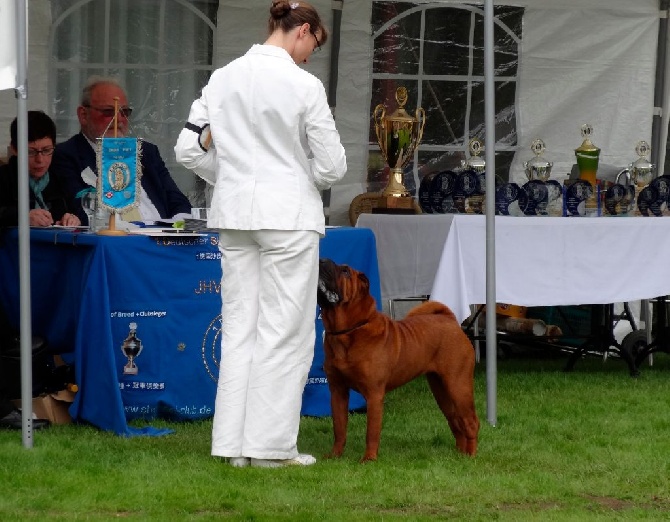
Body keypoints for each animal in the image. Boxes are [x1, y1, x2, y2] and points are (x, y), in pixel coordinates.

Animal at [318, 256, 480, 460]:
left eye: (345, 271)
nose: (322, 260)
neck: (348, 332)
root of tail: (450, 321)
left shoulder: (374, 394)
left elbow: (372, 431)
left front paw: (368, 459)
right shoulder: (337, 391)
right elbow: (339, 428)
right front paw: (334, 456)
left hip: (459, 385)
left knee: (470, 421)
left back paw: (471, 456)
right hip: (440, 389)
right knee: (455, 420)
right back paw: (459, 454)